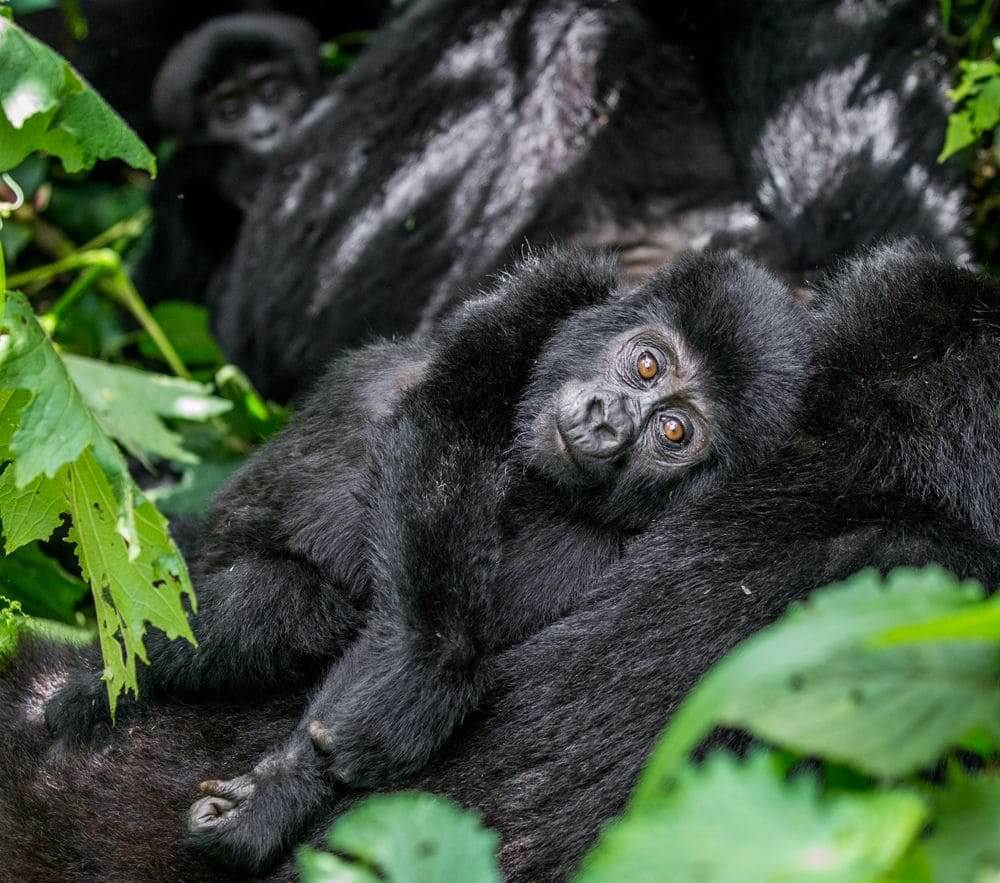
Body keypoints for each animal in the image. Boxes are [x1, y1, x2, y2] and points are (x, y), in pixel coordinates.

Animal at [186, 250, 812, 872]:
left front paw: (285, 789)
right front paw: (422, 668)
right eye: (647, 365)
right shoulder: (551, 286)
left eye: (674, 430)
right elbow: (447, 420)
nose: (606, 419)